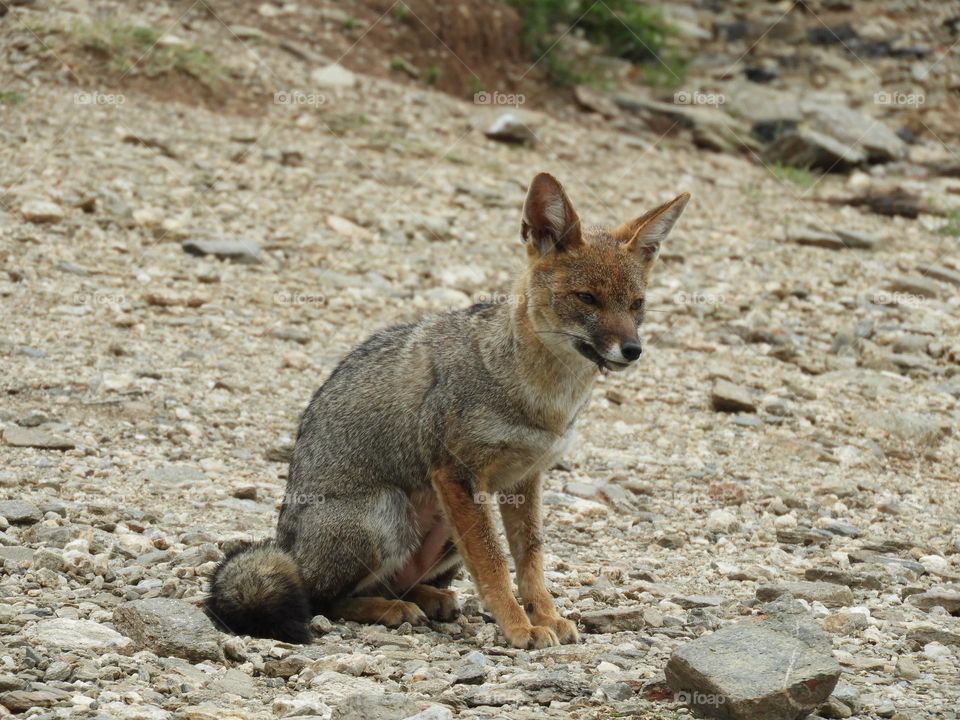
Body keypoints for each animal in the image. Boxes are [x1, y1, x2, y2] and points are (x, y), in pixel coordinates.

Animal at [206, 173, 688, 648]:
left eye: (637, 304)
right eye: (586, 298)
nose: (633, 350)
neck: (544, 398)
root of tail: (286, 547)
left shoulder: (524, 481)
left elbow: (530, 560)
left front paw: (546, 616)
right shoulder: (455, 472)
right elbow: (493, 563)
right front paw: (519, 627)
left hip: (448, 528)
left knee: (396, 584)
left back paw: (428, 598)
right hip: (389, 513)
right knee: (323, 599)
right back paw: (389, 609)